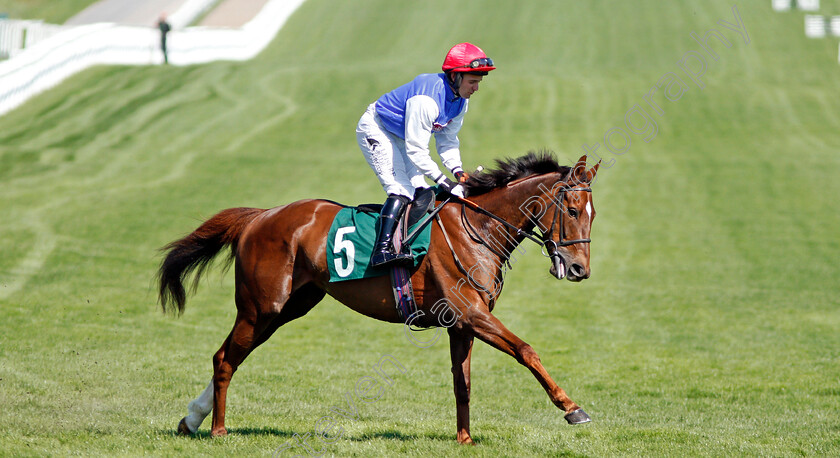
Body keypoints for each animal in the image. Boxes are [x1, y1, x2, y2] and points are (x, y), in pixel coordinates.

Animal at [158, 152, 600, 446]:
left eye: (593, 214)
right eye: (572, 209)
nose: (580, 269)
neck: (477, 228)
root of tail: (259, 216)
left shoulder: (462, 323)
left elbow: (463, 383)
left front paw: (464, 439)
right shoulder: (471, 313)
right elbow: (527, 351)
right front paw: (572, 408)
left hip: (285, 310)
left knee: (231, 355)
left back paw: (191, 421)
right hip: (259, 307)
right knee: (224, 359)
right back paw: (217, 429)